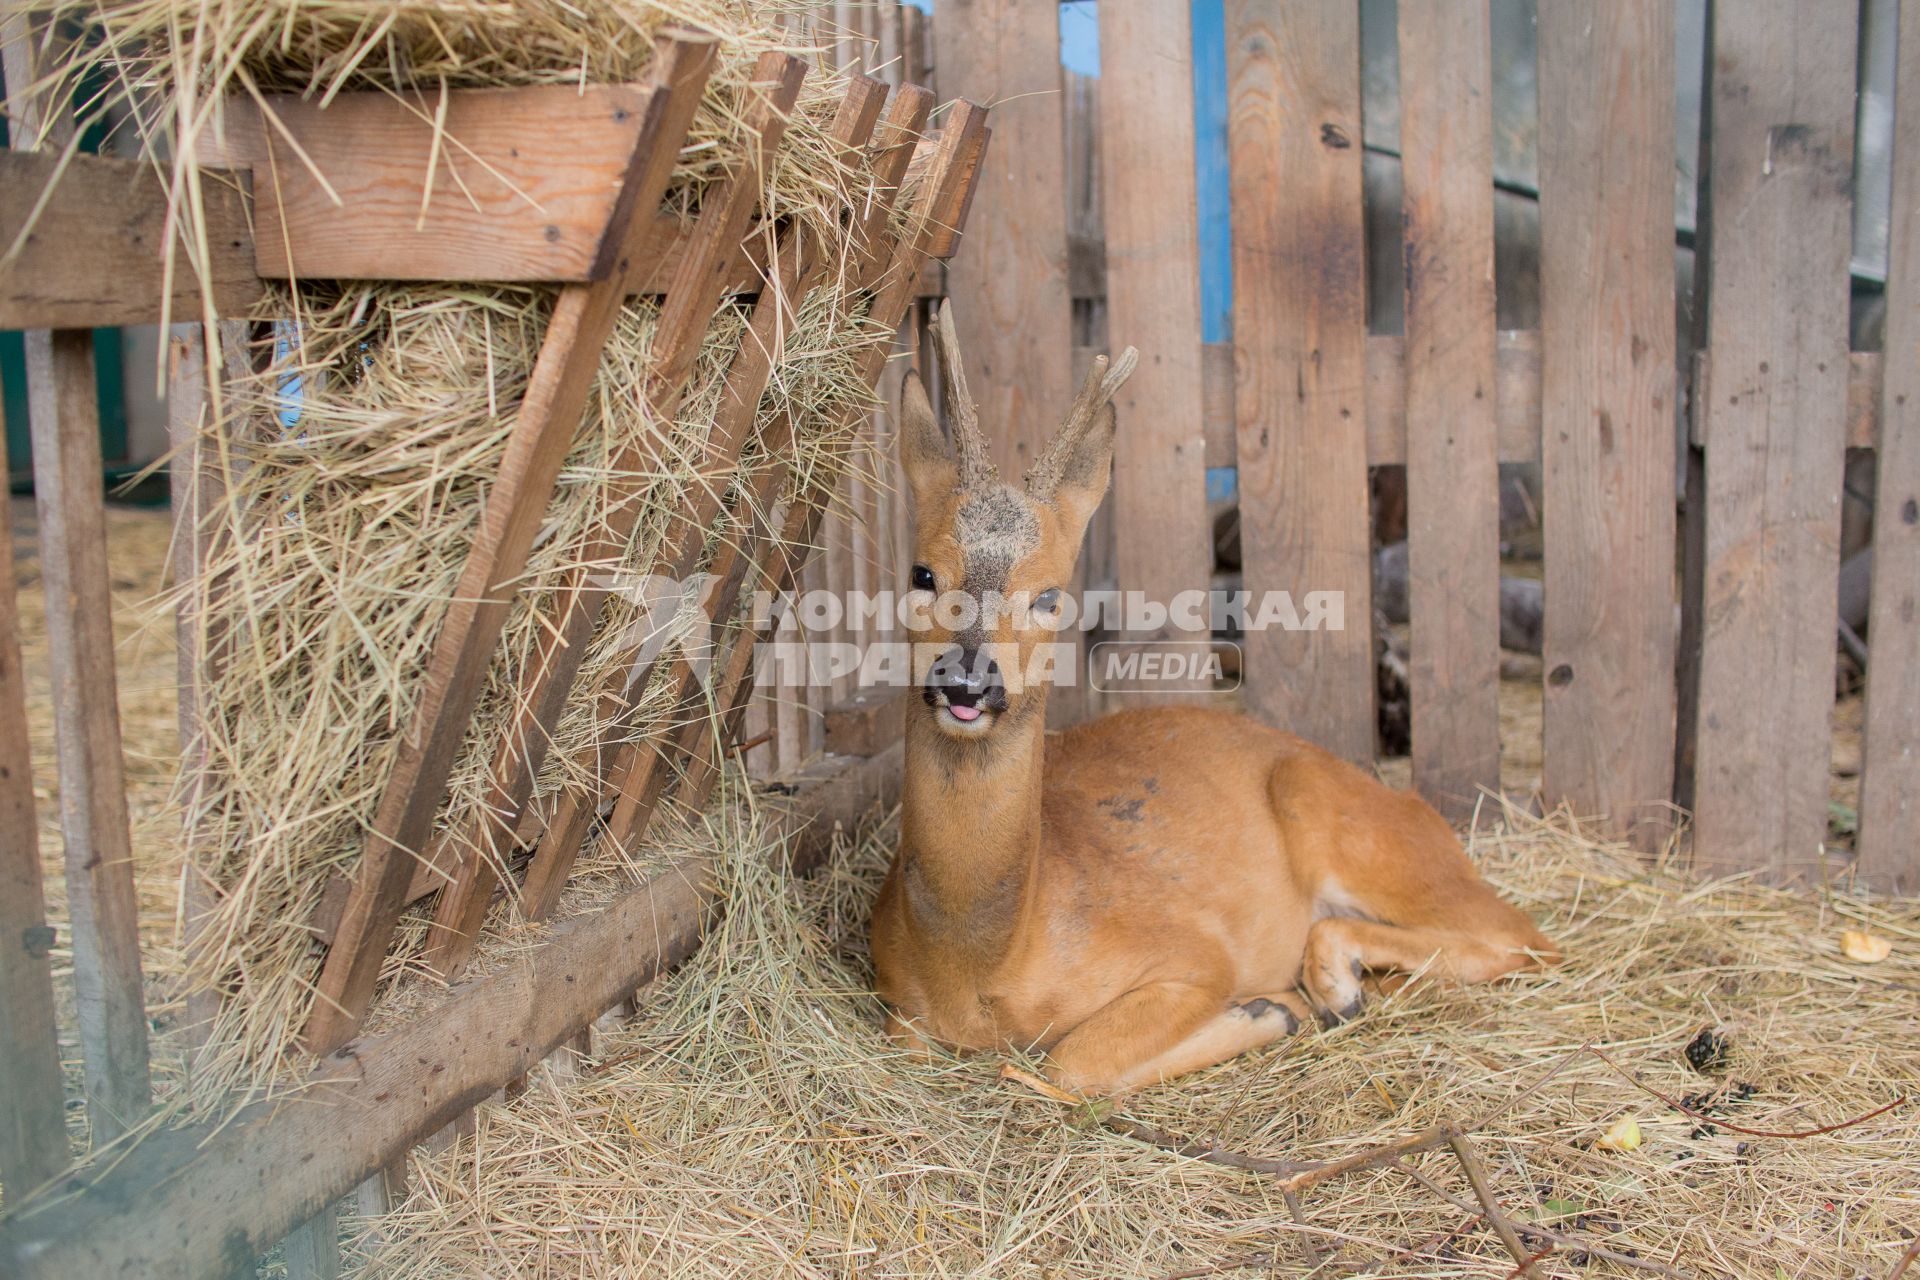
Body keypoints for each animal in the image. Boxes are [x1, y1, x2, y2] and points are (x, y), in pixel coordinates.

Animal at [871, 305, 1559, 1097]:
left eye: (1049, 595)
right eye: (922, 573)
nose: (966, 681)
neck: (984, 963)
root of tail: (1426, 818)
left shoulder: (1194, 954)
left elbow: (1068, 1065)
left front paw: (1262, 1011)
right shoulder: (895, 1004)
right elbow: (922, 1043)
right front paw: (1273, 1010)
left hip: (1348, 823)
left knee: (1525, 938)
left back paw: (1329, 987)